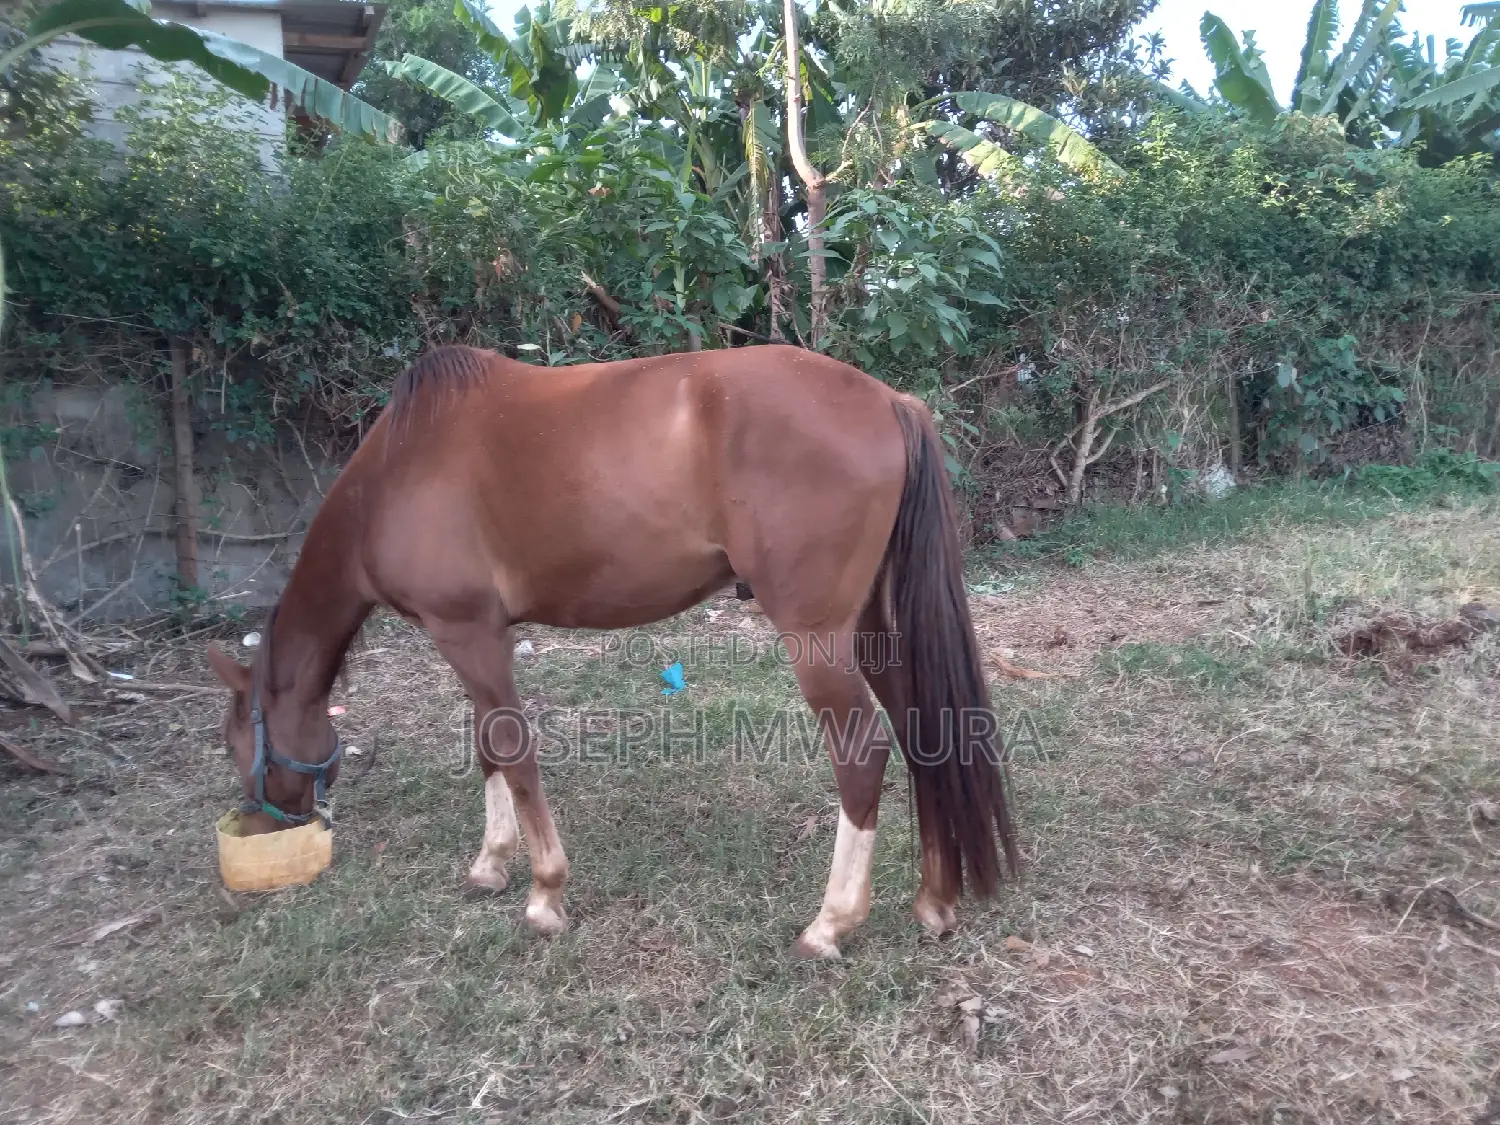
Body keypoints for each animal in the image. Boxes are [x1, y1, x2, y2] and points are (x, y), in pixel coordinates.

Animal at [207, 343, 1019, 960]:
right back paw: (935, 901)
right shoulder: (469, 636)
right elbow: (488, 746)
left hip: (818, 641)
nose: (260, 827)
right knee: (925, 733)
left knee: (862, 753)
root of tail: (890, 401)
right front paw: (490, 864)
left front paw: (545, 894)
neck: (395, 473)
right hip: (873, 632)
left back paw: (829, 925)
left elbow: (512, 748)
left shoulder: (467, 631)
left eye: (239, 746)